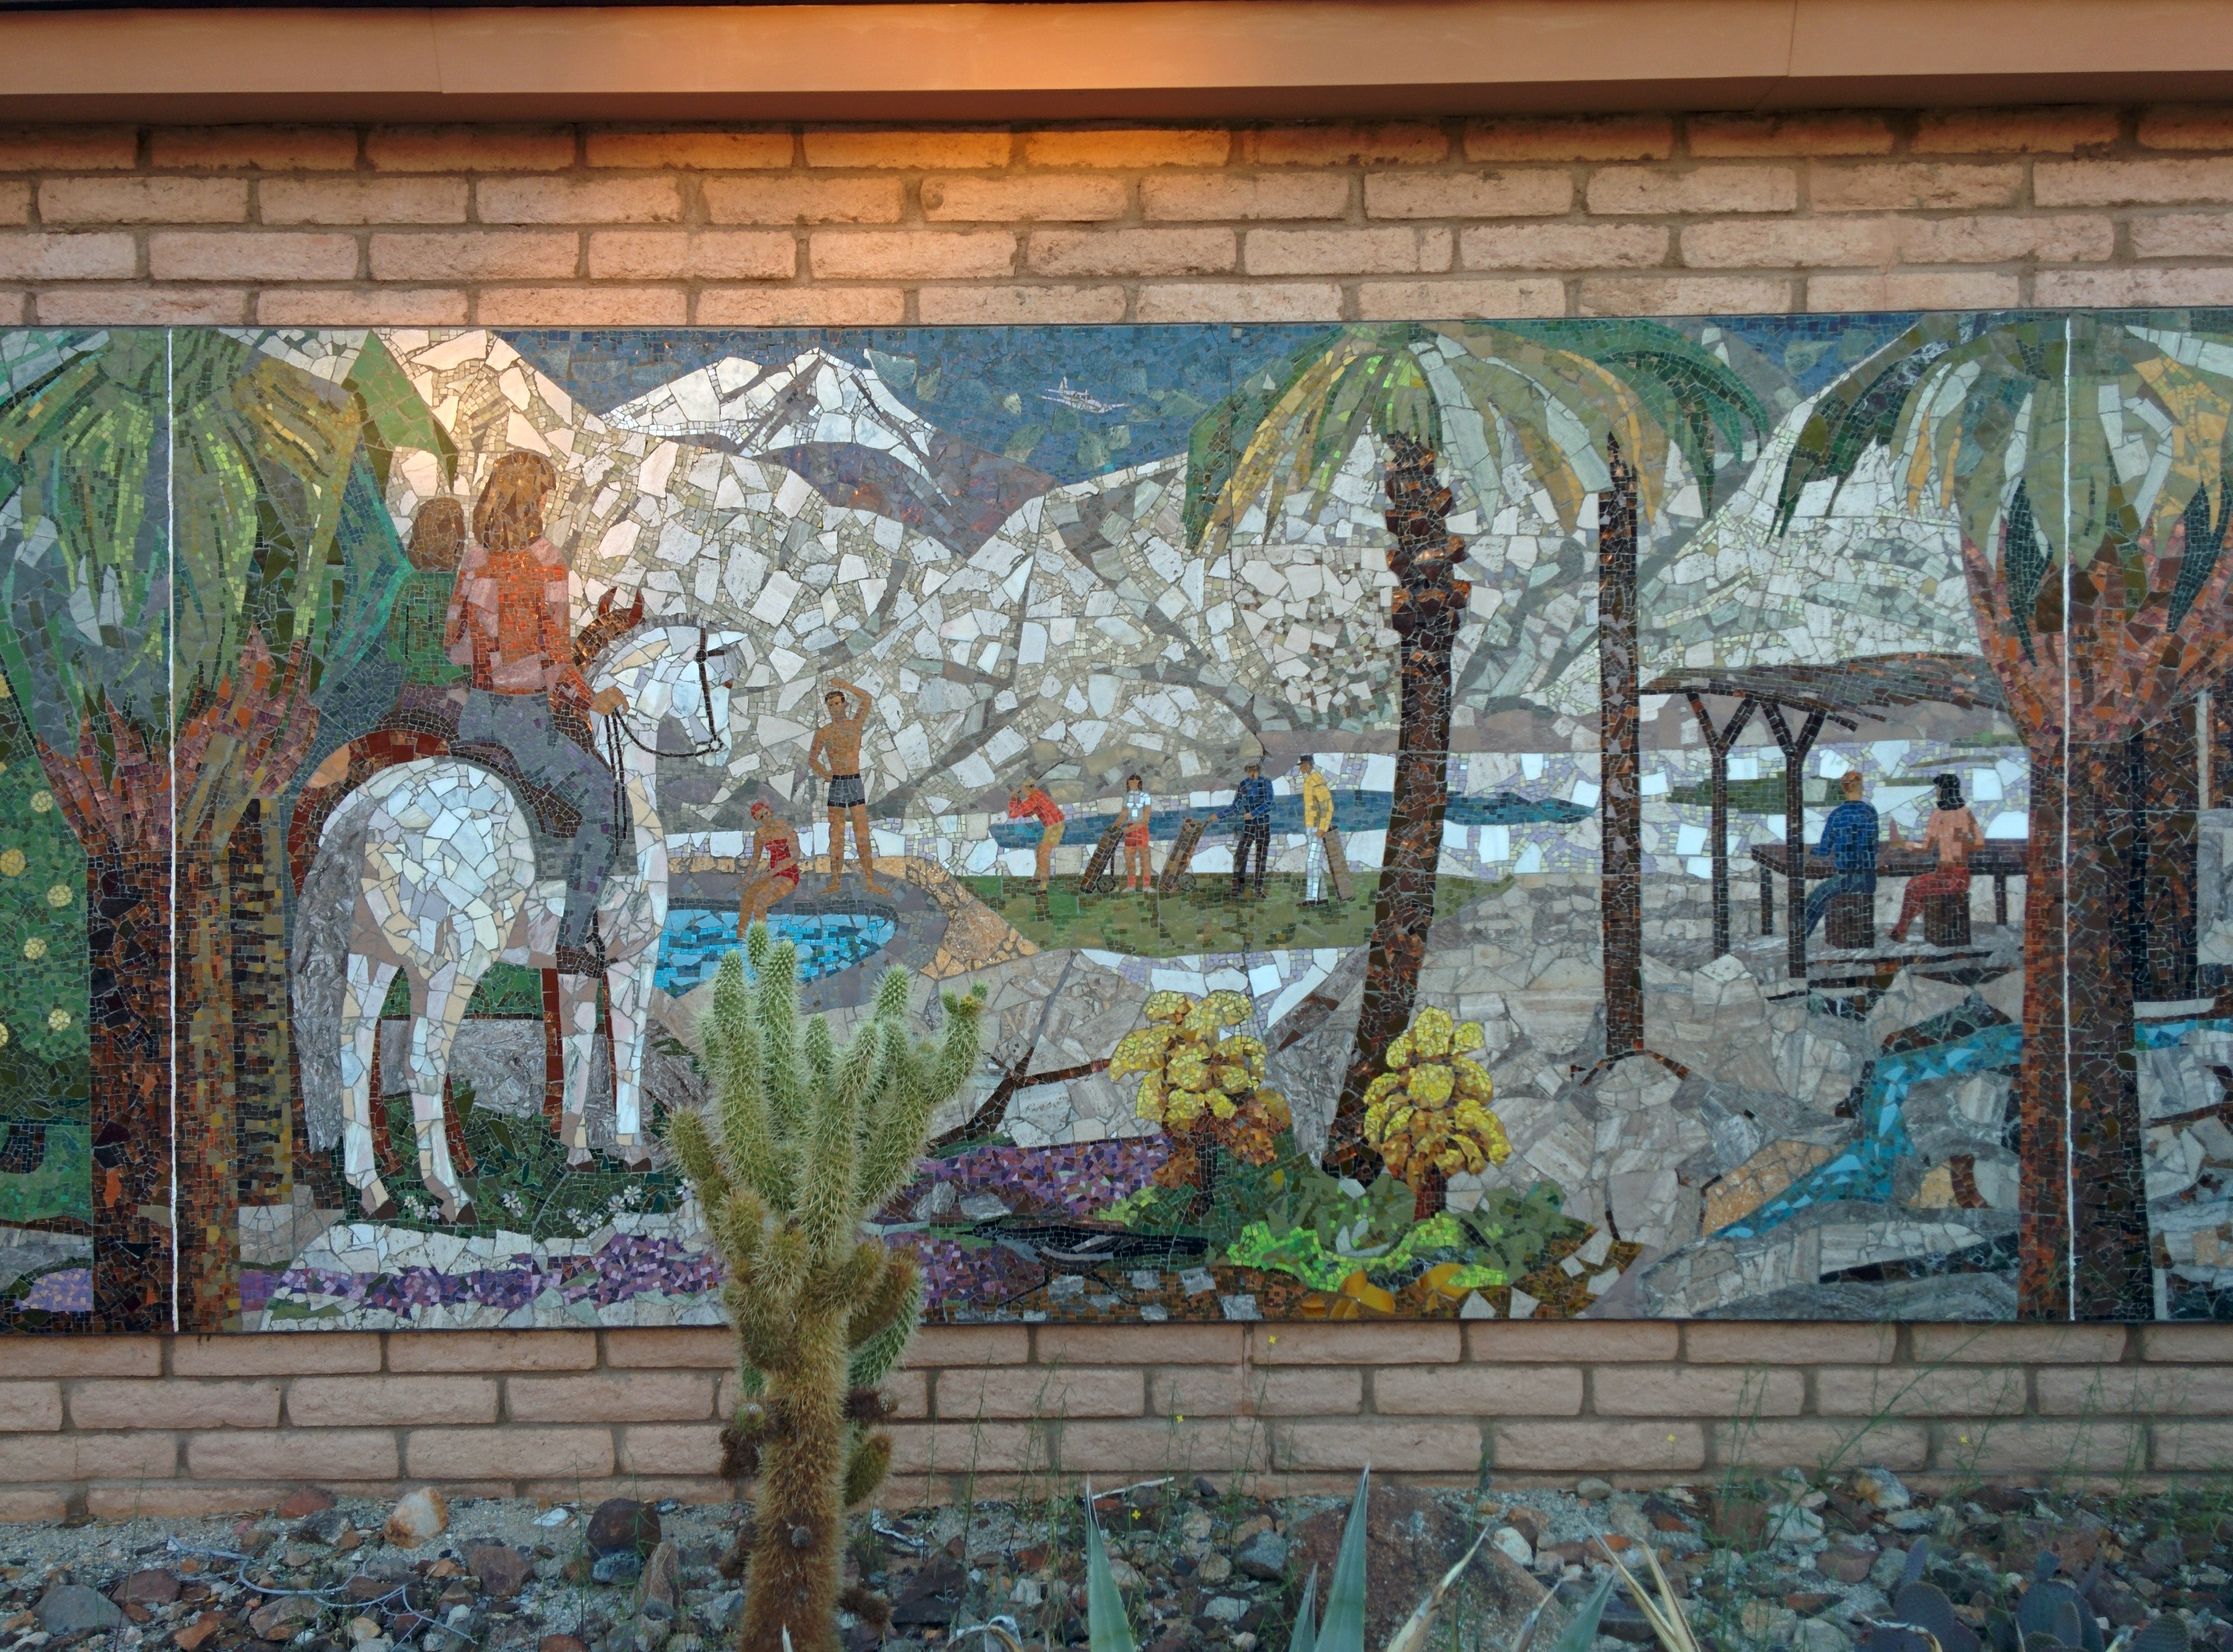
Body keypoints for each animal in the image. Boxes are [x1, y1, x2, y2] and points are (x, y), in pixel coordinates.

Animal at [291, 623, 744, 1223]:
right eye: (721, 679)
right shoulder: (633, 960)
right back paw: (450, 1193)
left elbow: (577, 1050)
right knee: (422, 1064)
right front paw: (632, 1150)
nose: (723, 749)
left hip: (376, 955)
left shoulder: (573, 968)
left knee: (354, 1052)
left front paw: (577, 1153)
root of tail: (372, 805)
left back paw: (371, 1189)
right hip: (450, 966)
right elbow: (626, 1053)